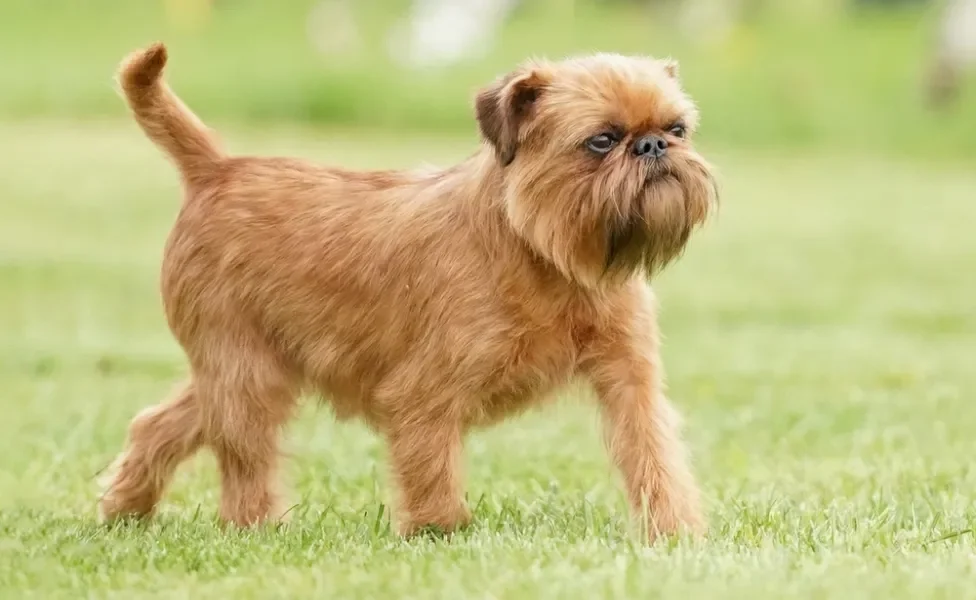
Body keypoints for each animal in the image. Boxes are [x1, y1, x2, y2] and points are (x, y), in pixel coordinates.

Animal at [99, 42, 716, 540]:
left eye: (677, 129)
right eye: (602, 141)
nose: (653, 146)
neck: (544, 252)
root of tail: (218, 170)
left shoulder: (630, 380)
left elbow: (653, 452)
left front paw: (675, 531)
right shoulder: (424, 391)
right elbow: (430, 461)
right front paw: (439, 533)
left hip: (246, 366)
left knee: (163, 422)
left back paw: (126, 507)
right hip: (247, 370)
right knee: (243, 455)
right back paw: (252, 527)